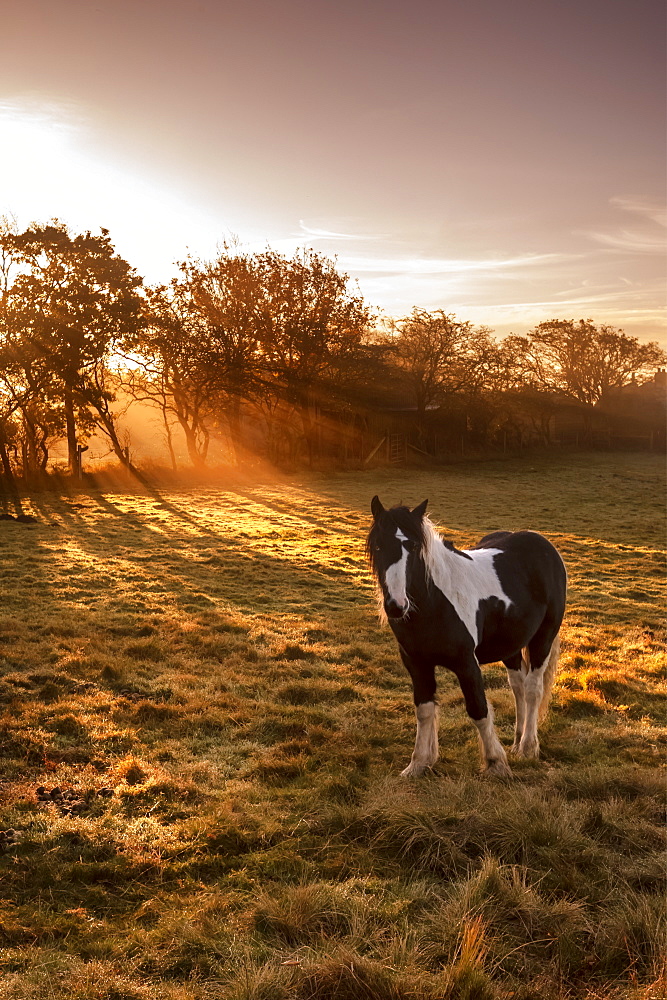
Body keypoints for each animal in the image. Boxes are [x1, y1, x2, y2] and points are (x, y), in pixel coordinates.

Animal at [368, 496, 568, 776]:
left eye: (415, 546)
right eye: (378, 546)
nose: (397, 605)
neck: (434, 603)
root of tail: (544, 545)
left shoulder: (467, 664)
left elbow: (478, 709)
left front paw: (496, 763)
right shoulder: (417, 665)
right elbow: (424, 709)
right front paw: (419, 763)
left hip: (543, 638)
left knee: (532, 689)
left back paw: (528, 748)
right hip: (511, 645)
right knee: (518, 685)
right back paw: (517, 742)